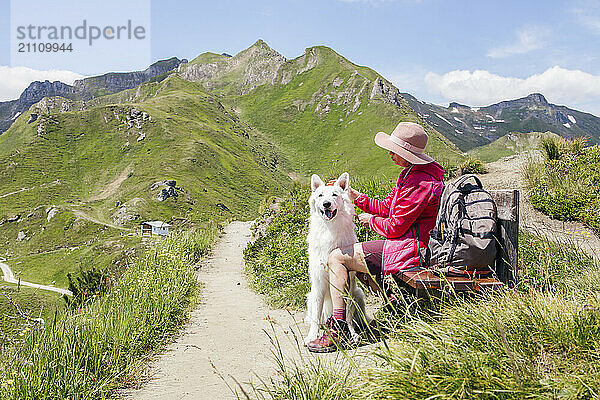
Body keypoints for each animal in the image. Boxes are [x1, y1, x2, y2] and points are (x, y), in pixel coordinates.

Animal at [304, 172, 366, 344]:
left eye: (334, 195)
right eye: (320, 195)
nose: (326, 204)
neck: (329, 230)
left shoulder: (349, 283)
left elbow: (348, 314)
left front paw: (351, 333)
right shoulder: (318, 283)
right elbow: (316, 317)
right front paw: (312, 336)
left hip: (358, 294)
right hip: (311, 296)